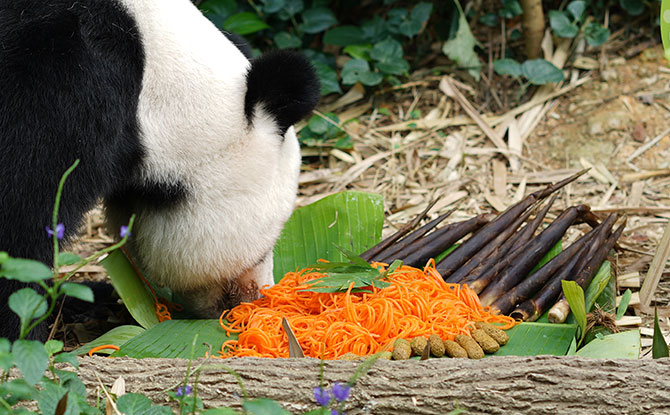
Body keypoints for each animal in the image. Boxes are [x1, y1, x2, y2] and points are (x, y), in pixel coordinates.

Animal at [0, 0, 320, 342]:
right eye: (265, 248)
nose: (257, 296)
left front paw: (84, 298)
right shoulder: (59, 87)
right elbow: (21, 226)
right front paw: (22, 332)